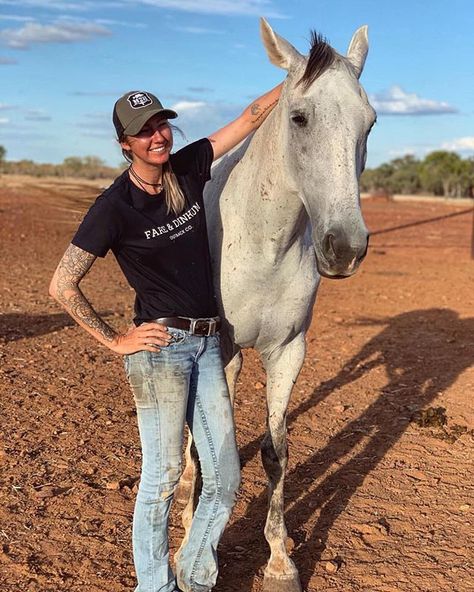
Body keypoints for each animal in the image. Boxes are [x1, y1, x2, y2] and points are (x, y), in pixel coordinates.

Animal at [180, 17, 376, 592]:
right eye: (299, 117)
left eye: (370, 123)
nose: (345, 247)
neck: (263, 243)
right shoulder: (216, 346)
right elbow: (208, 447)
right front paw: (189, 540)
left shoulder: (289, 350)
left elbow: (276, 452)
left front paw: (280, 561)